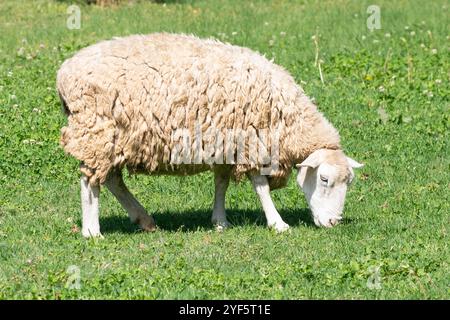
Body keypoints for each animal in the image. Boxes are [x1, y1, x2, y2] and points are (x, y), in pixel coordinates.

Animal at [56, 32, 364, 238]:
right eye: (324, 179)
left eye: (348, 182)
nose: (333, 223)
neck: (285, 118)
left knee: (111, 179)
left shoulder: (227, 142)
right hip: (96, 131)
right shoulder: (250, 140)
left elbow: (221, 183)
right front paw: (277, 223)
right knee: (90, 182)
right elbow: (260, 186)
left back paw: (144, 220)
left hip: (112, 138)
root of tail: (64, 72)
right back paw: (92, 231)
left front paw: (219, 221)